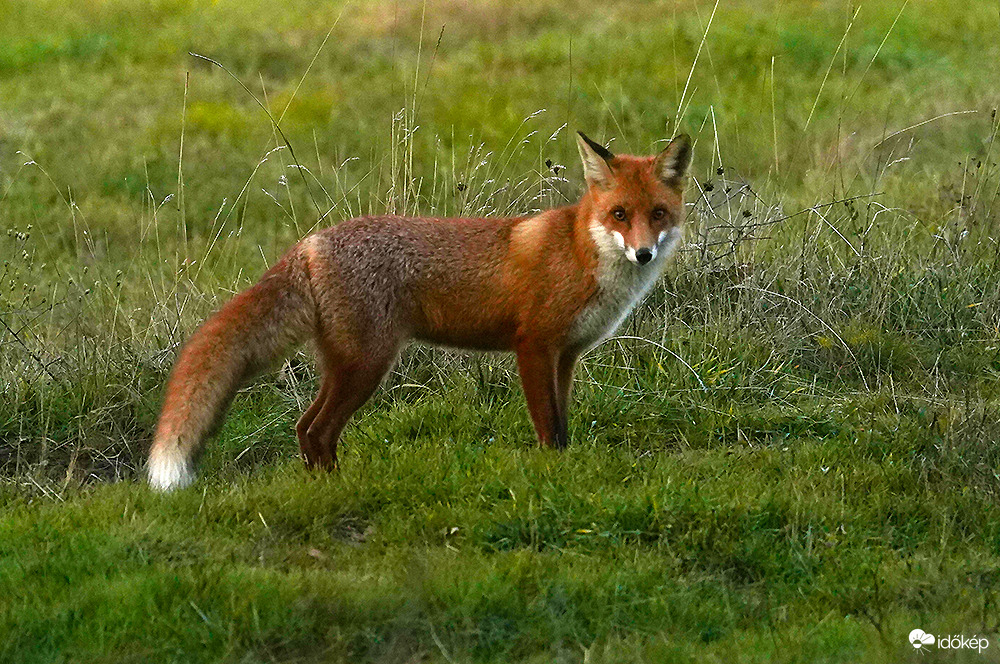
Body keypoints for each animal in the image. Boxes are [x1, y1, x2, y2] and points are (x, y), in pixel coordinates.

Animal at [148, 132, 692, 490]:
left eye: (657, 214)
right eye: (619, 214)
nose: (644, 253)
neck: (581, 253)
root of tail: (312, 242)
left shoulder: (566, 356)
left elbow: (564, 425)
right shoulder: (534, 347)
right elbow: (549, 429)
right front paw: (552, 476)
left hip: (347, 365)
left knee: (305, 428)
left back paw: (325, 485)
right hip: (366, 366)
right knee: (316, 430)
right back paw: (337, 490)